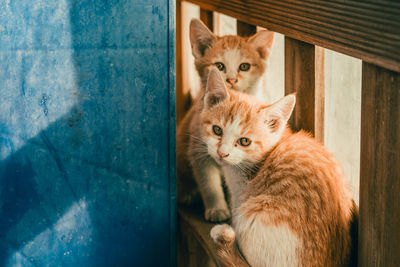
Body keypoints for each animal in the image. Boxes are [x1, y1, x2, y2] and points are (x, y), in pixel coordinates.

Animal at [177, 19, 274, 223]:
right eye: (219, 66)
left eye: (244, 66)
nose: (232, 79)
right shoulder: (198, 149)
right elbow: (209, 184)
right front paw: (217, 209)